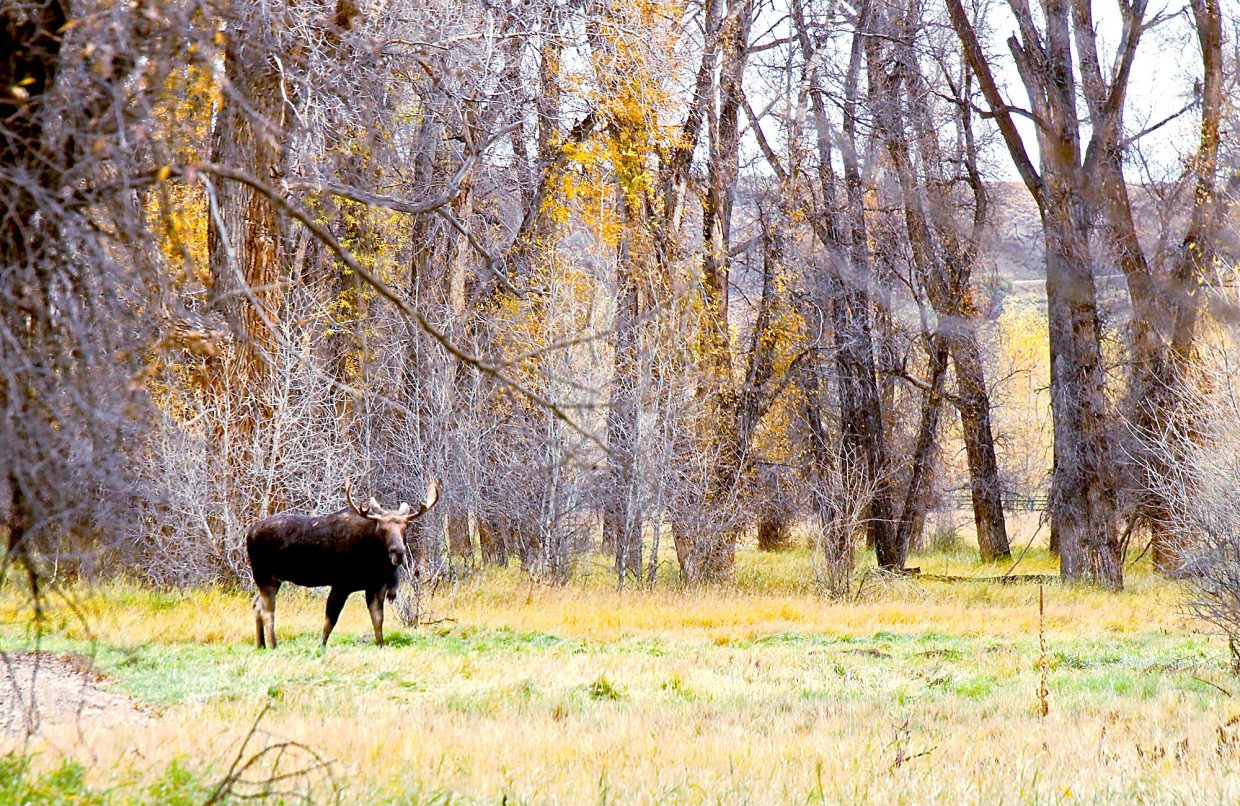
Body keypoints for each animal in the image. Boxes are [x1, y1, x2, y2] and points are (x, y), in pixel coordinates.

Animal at [245, 477, 440, 649]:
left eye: (405, 527)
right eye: (382, 529)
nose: (398, 552)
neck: (375, 561)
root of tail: (249, 534)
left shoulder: (376, 586)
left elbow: (378, 619)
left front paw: (381, 646)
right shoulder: (341, 584)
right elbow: (330, 620)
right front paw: (320, 647)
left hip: (273, 578)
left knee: (256, 605)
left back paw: (261, 645)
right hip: (264, 575)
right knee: (268, 612)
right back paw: (273, 645)